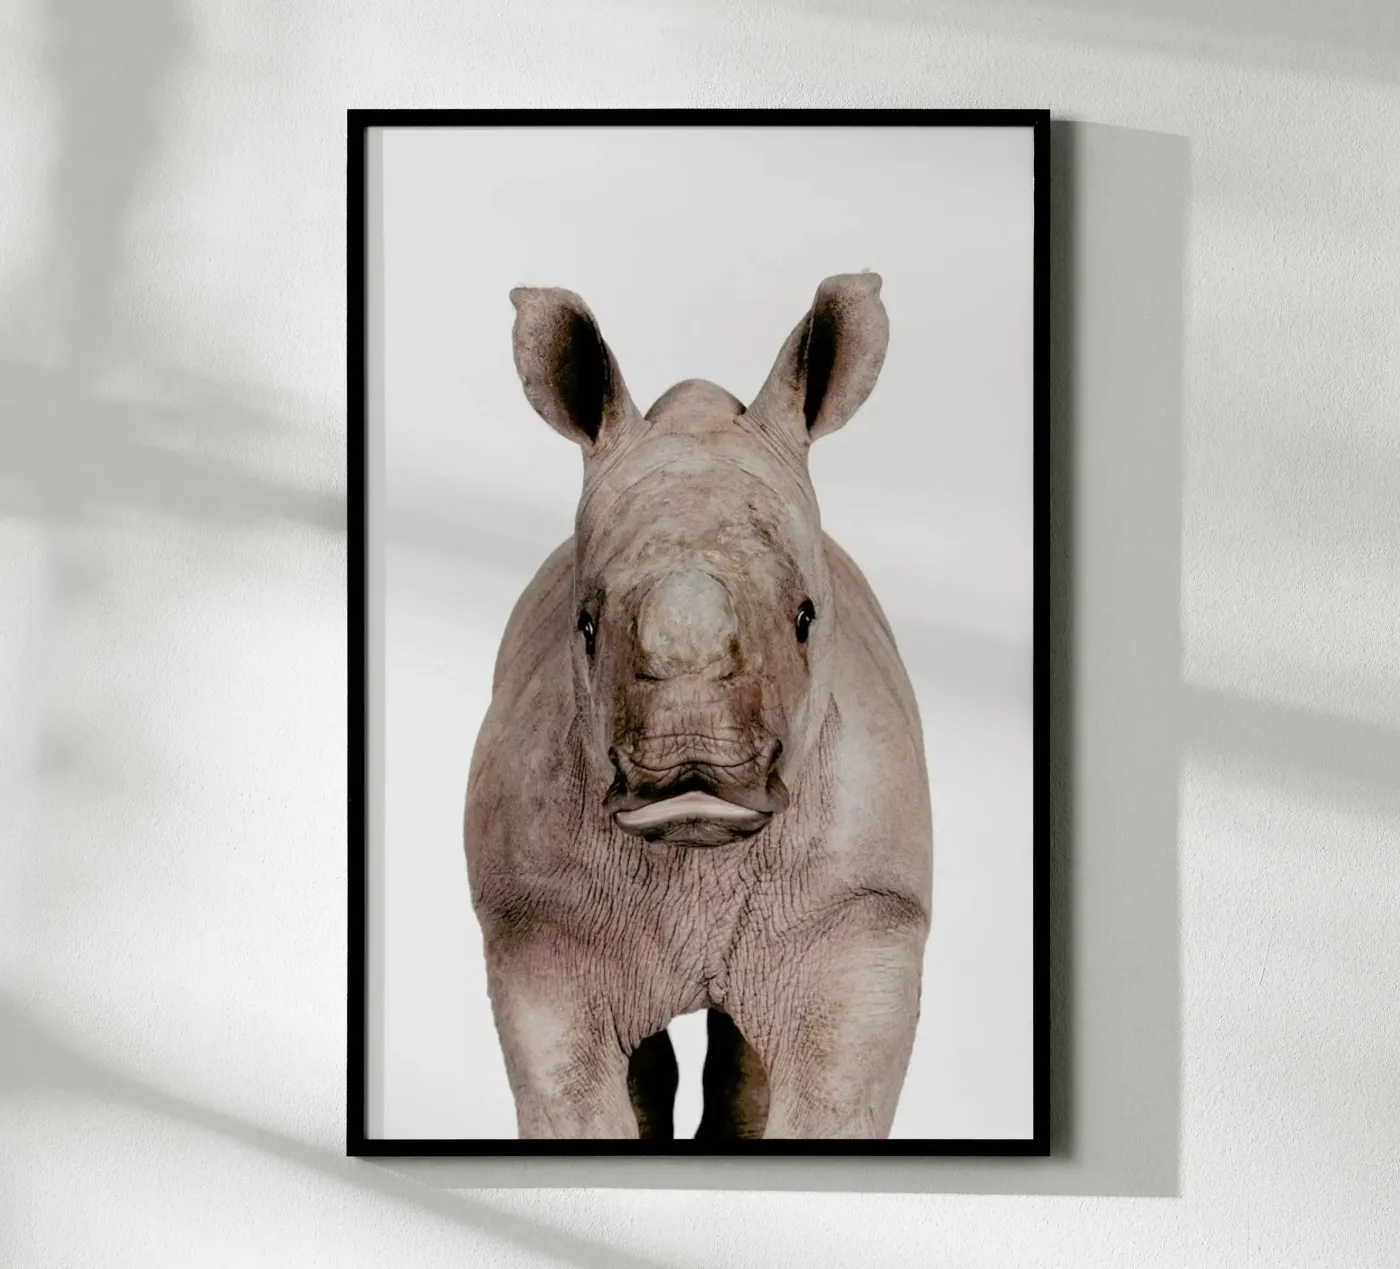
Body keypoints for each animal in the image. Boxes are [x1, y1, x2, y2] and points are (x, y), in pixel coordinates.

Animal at [464, 273, 933, 1139]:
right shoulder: (537, 920)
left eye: (807, 617)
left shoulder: (863, 914)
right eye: (584, 626)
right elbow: (573, 1095)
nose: (693, 772)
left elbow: (828, 1097)